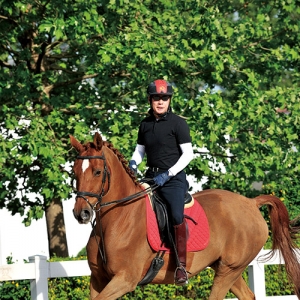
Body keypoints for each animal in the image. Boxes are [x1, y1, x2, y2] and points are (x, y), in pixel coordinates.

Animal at [71, 132, 300, 298]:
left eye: (97, 172)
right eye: (75, 171)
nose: (81, 213)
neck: (117, 219)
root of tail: (251, 203)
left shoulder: (125, 279)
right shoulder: (98, 280)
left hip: (230, 269)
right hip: (226, 268)